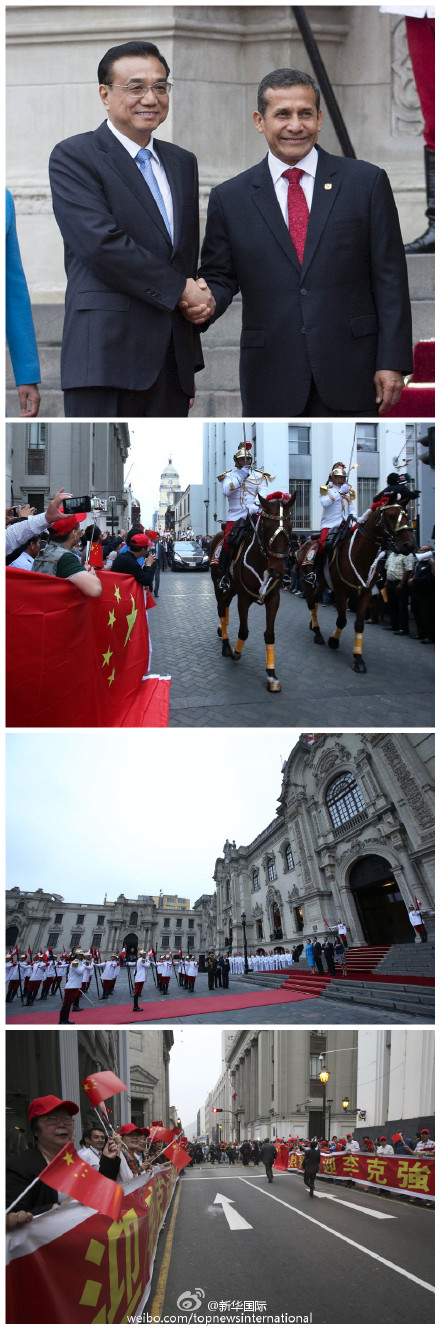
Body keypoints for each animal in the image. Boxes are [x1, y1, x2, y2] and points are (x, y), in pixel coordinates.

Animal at [211, 491, 296, 696]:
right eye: (267, 527)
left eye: (290, 527)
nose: (277, 572)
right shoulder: (244, 599)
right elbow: (244, 630)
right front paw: (236, 651)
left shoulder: (274, 599)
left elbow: (270, 634)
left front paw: (272, 675)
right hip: (219, 587)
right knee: (221, 610)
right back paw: (226, 644)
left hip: (231, 590)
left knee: (225, 608)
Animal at [296, 499, 417, 675]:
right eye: (391, 515)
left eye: (407, 514)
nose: (410, 545)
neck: (359, 555)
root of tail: (305, 543)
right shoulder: (341, 592)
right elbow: (341, 620)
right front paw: (333, 641)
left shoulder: (365, 593)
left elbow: (359, 624)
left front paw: (358, 659)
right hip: (306, 582)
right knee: (311, 604)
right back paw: (317, 633)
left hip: (322, 583)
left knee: (316, 601)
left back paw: (314, 625)